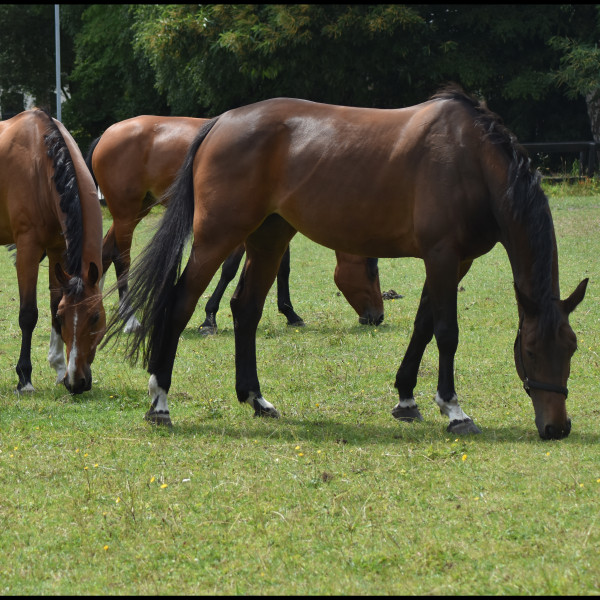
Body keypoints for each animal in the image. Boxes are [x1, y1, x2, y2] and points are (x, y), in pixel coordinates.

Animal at [0, 109, 106, 394]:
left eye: (95, 317)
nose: (77, 382)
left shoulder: (58, 250)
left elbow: (51, 301)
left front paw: (59, 368)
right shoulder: (27, 250)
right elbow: (28, 314)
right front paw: (24, 378)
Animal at [86, 115, 382, 336]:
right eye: (372, 270)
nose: (377, 316)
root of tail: (107, 134)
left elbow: (282, 268)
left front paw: (290, 313)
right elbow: (229, 269)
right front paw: (210, 318)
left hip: (136, 210)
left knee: (105, 253)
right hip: (126, 213)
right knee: (121, 258)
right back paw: (129, 320)